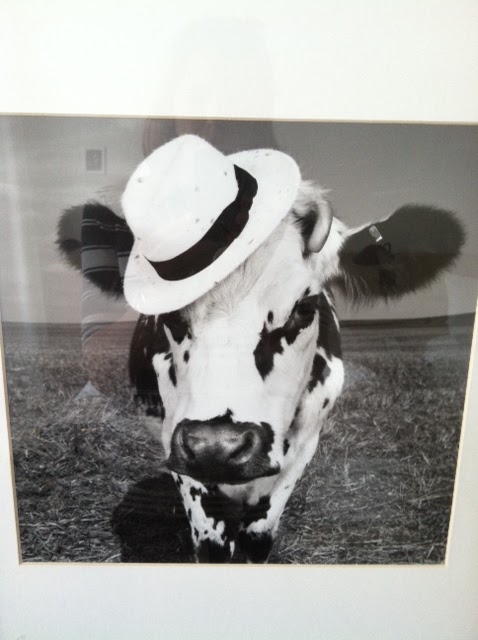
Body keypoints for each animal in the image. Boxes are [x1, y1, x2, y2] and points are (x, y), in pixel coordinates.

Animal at [57, 135, 464, 563]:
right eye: (168, 314)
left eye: (304, 307)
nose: (218, 447)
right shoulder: (181, 453)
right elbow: (212, 545)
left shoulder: (301, 449)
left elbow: (258, 539)